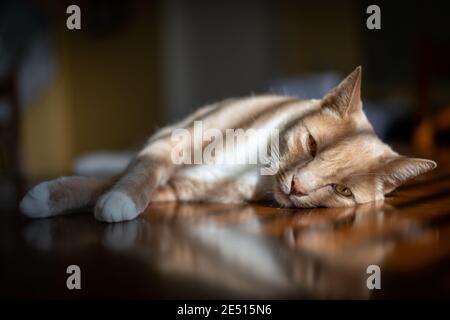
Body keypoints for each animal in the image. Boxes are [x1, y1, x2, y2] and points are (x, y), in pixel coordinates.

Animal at [20, 67, 436, 222]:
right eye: (312, 144)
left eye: (342, 190)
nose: (298, 187)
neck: (253, 167)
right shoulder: (170, 143)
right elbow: (135, 173)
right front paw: (48, 197)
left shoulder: (182, 189)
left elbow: (126, 183)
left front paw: (109, 201)